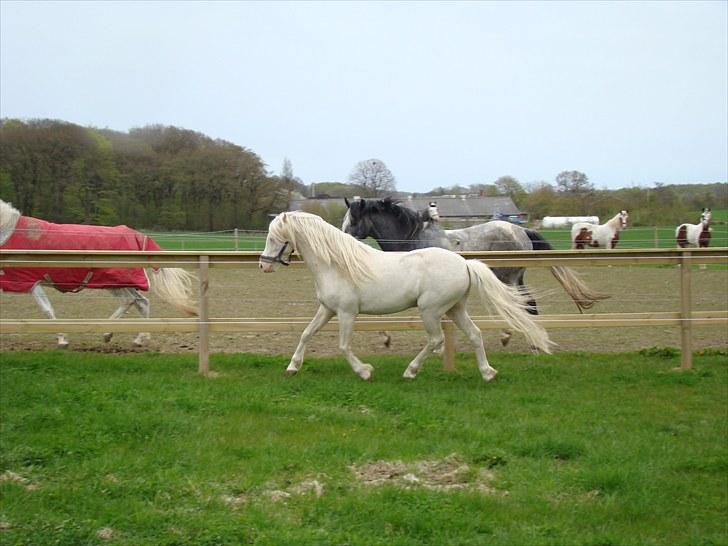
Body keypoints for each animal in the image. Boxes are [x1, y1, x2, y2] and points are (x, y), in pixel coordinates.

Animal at [0, 199, 197, 348]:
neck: (9, 231)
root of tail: (137, 235)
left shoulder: (31, 282)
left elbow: (47, 310)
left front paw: (62, 340)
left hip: (115, 282)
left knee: (130, 301)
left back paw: (109, 332)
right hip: (119, 283)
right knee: (140, 302)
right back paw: (135, 338)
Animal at [259, 211, 553, 382]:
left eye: (273, 237)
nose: (263, 265)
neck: (336, 264)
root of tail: (465, 264)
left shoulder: (346, 313)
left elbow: (343, 346)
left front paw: (365, 371)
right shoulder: (328, 309)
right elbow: (306, 333)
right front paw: (292, 367)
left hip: (430, 310)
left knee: (436, 340)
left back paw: (410, 371)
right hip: (455, 309)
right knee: (475, 334)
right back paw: (488, 373)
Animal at [342, 197, 609, 346]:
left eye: (353, 219)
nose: (342, 238)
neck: (411, 239)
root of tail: (521, 230)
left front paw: (386, 338)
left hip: (508, 278)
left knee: (521, 304)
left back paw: (514, 337)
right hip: (516, 278)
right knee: (529, 304)